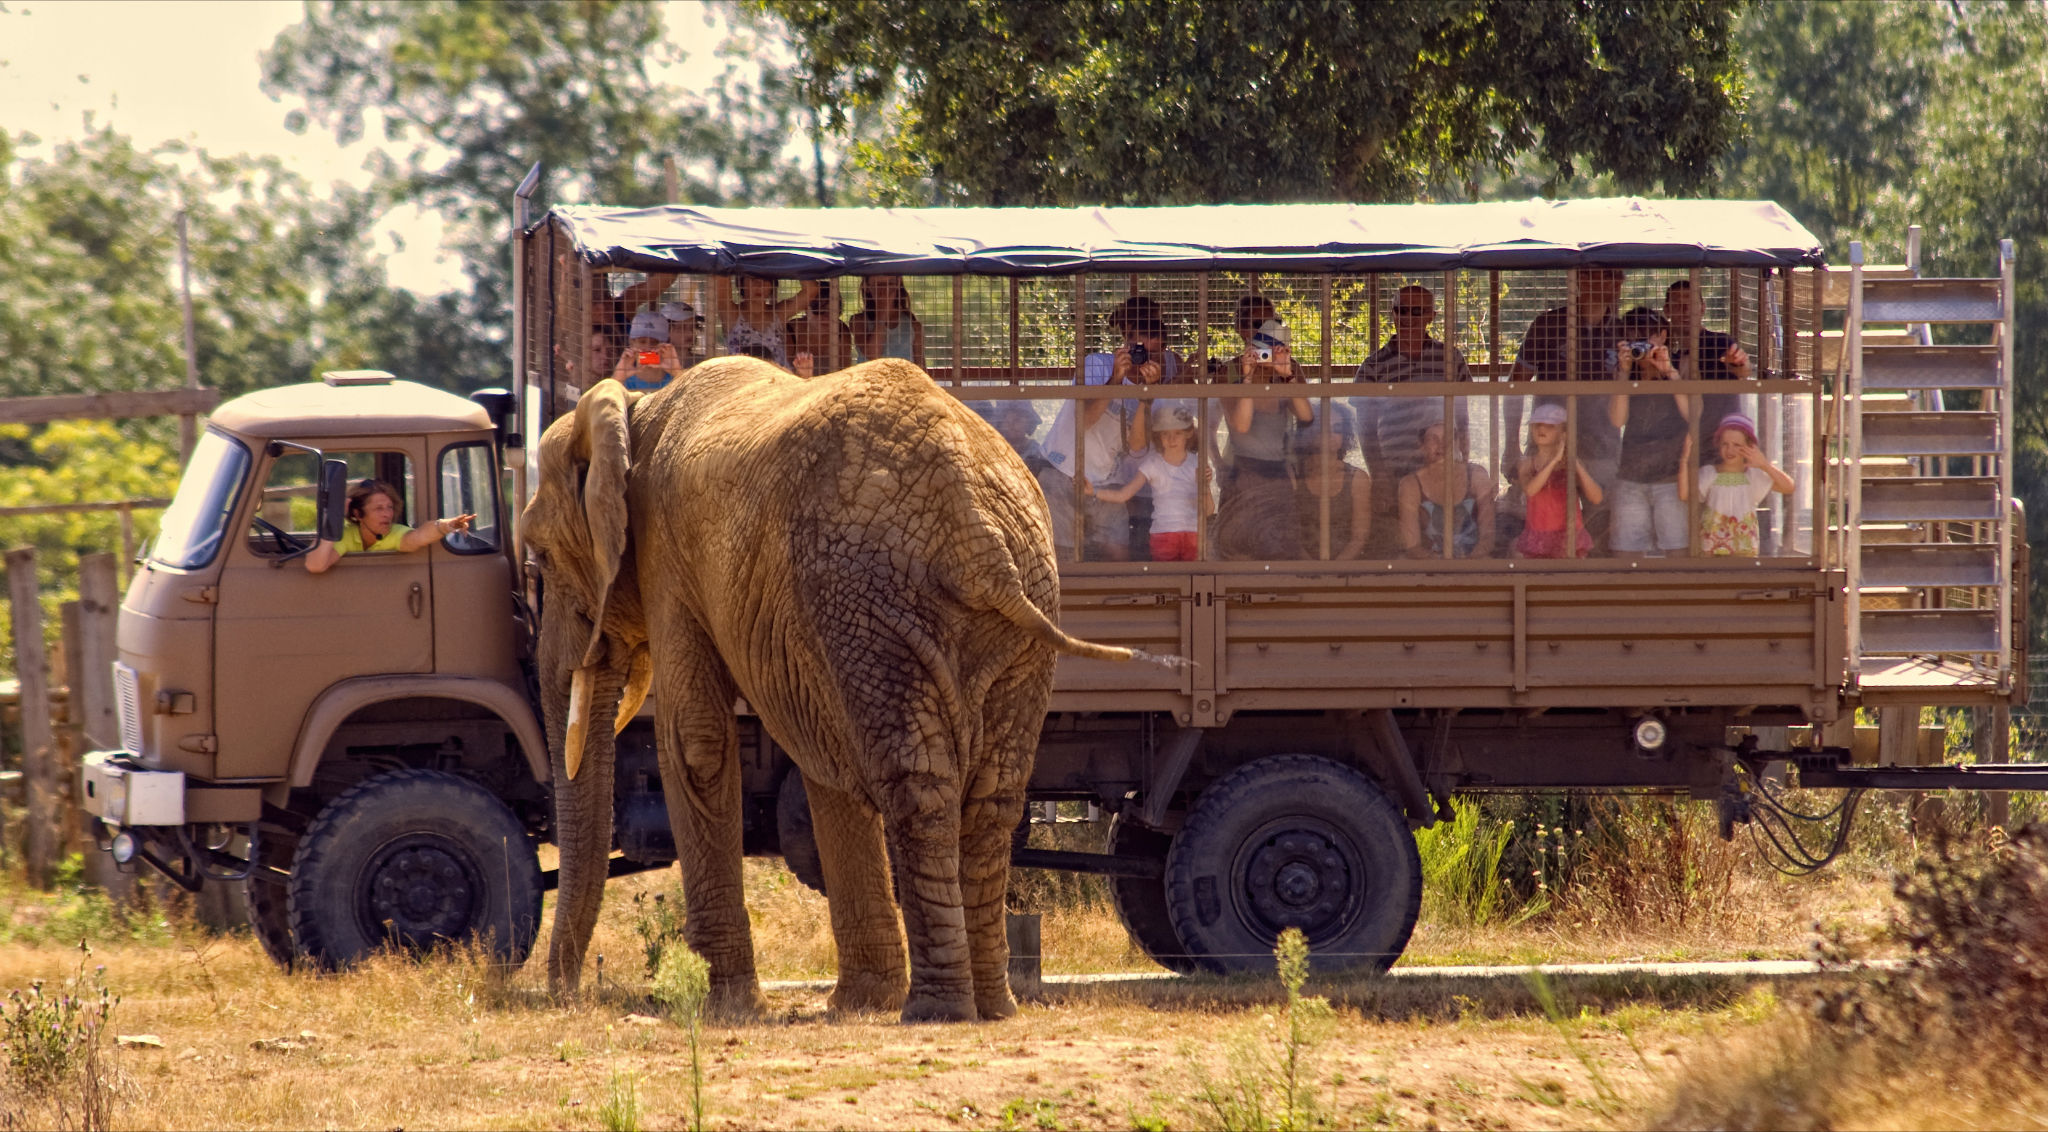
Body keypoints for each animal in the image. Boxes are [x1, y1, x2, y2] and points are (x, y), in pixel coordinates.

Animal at [520, 358, 1146, 1019]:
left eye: (540, 558)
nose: (567, 994)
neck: (634, 412)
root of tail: (977, 530)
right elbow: (821, 756)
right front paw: (859, 1004)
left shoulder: (667, 559)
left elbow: (697, 739)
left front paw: (730, 1007)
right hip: (1011, 606)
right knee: (990, 795)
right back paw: (992, 1007)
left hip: (866, 590)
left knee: (916, 784)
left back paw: (936, 1011)